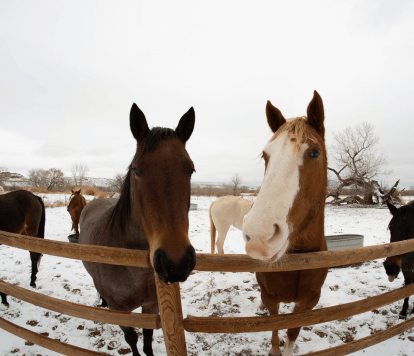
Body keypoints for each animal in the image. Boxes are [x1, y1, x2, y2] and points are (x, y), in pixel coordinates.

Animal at [80, 104, 197, 356]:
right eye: (136, 170)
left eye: (191, 170)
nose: (176, 262)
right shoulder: (119, 309)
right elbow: (132, 339)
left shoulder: (151, 305)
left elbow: (148, 339)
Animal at [241, 91, 328, 356]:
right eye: (265, 156)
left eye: (315, 152)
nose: (259, 236)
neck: (299, 262)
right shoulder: (271, 296)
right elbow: (274, 327)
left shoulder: (308, 302)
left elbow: (292, 333)